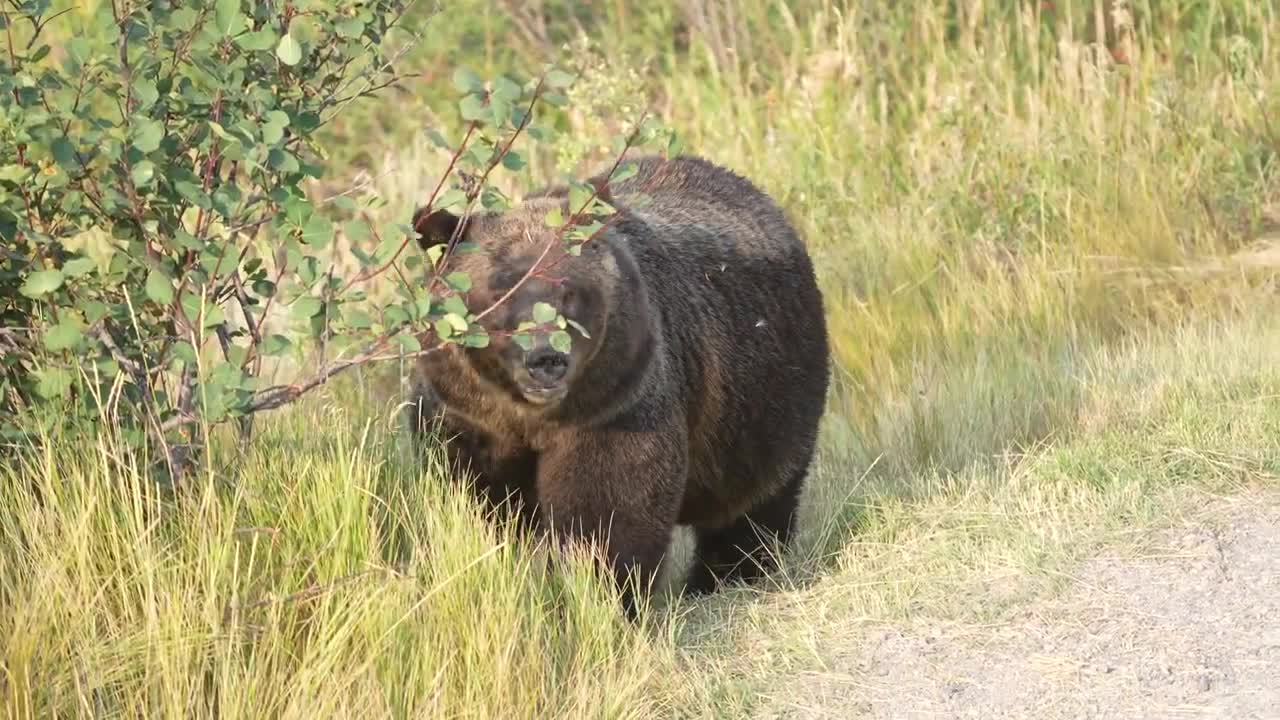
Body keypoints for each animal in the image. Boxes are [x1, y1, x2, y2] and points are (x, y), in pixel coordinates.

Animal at [407, 154, 829, 614]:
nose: (546, 359)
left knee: (752, 502)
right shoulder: (466, 410)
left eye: (569, 290)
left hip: (762, 392)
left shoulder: (615, 404)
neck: (529, 415)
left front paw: (595, 592)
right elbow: (473, 496)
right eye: (501, 290)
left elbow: (607, 509)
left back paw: (729, 575)